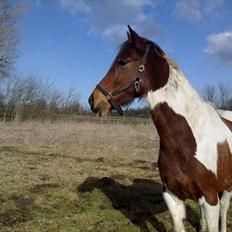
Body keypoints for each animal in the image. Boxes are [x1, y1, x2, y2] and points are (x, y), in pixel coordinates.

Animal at [88, 25, 232, 232]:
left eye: (122, 62)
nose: (93, 100)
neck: (189, 139)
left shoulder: (211, 198)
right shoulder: (172, 197)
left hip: (226, 188)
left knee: (225, 209)